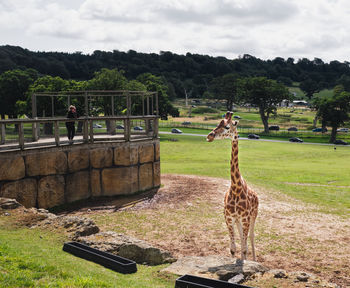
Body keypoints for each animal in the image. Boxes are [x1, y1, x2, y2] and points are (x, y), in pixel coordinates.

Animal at [206, 112, 258, 260]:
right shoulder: (229, 217)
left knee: (251, 236)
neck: (236, 188)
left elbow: (245, 248)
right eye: (218, 124)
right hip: (238, 220)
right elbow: (233, 249)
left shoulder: (246, 218)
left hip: (254, 215)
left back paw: (254, 259)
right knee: (242, 238)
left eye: (227, 126)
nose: (209, 136)